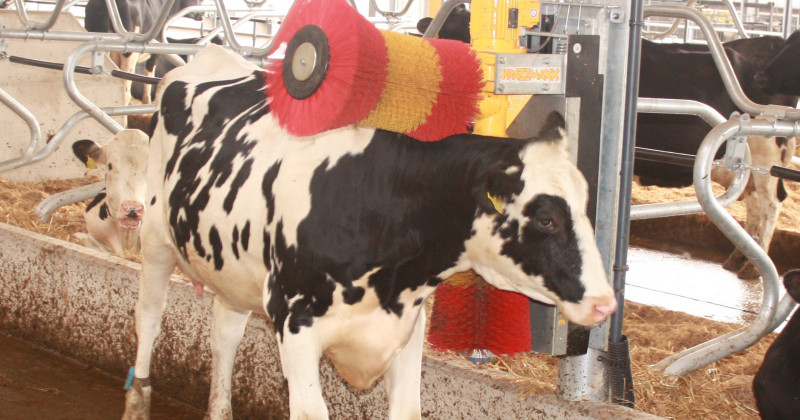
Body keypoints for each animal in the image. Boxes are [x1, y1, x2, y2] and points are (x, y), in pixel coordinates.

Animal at [121, 45, 616, 419]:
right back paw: (137, 399)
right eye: (547, 218)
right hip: (156, 240)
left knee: (224, 336)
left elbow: (407, 410)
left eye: (584, 205)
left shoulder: (407, 325)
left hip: (233, 272)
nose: (605, 304)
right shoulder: (294, 319)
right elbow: (310, 412)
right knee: (148, 319)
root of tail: (208, 55)